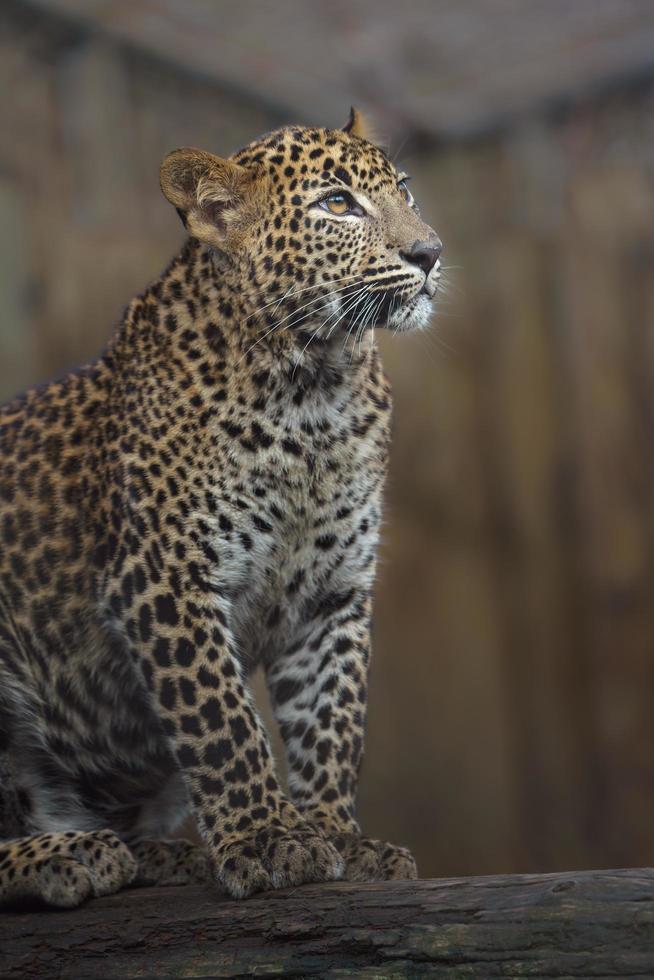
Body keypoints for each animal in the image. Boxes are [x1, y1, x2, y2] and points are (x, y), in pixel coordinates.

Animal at [0, 105, 444, 904]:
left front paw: (338, 838)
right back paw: (70, 855)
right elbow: (224, 723)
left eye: (404, 191)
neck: (314, 390)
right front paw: (269, 839)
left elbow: (332, 719)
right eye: (338, 205)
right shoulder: (164, 581)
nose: (429, 252)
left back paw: (157, 856)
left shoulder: (333, 592)